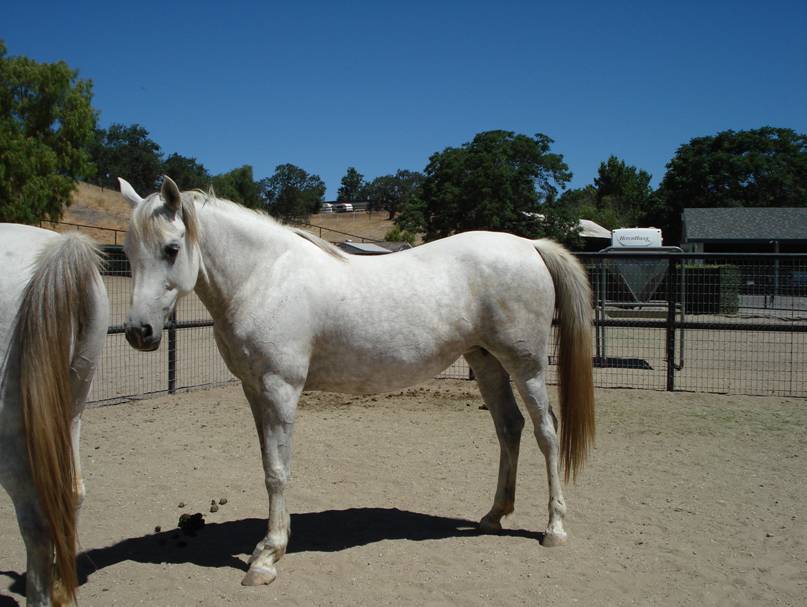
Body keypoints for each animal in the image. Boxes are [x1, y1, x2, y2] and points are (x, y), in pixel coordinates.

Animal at [121, 177, 600, 588]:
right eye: (128, 250)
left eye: (171, 248)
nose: (138, 332)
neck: (264, 277)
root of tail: (531, 246)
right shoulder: (255, 391)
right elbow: (268, 466)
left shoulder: (280, 389)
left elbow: (278, 472)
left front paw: (267, 557)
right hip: (486, 362)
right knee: (509, 428)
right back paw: (493, 515)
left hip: (527, 366)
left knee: (546, 432)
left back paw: (554, 528)